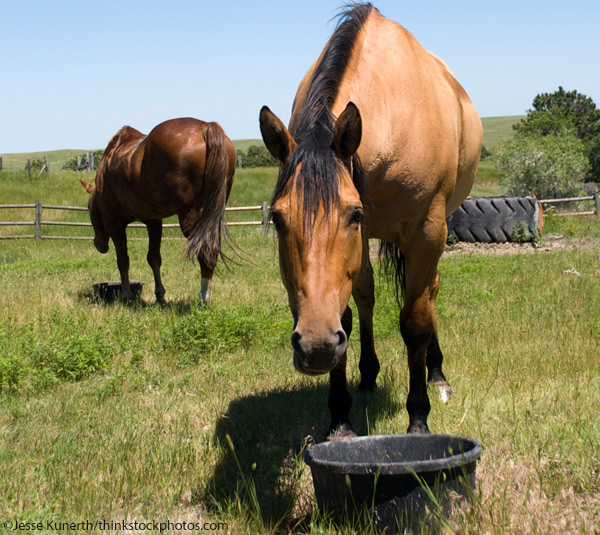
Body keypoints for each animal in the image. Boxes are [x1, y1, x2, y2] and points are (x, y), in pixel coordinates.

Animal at [81, 119, 236, 308]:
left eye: (89, 209)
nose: (98, 244)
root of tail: (205, 126)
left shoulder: (114, 223)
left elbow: (123, 260)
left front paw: (126, 296)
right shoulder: (153, 221)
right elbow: (154, 258)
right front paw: (160, 296)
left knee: (205, 251)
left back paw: (203, 299)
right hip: (212, 218)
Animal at [260, 4, 480, 438]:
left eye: (353, 213)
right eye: (277, 218)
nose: (316, 347)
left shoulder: (426, 234)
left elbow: (415, 323)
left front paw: (418, 418)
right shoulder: (359, 245)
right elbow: (349, 310)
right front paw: (341, 417)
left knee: (429, 293)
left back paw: (436, 372)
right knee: (366, 300)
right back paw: (367, 375)